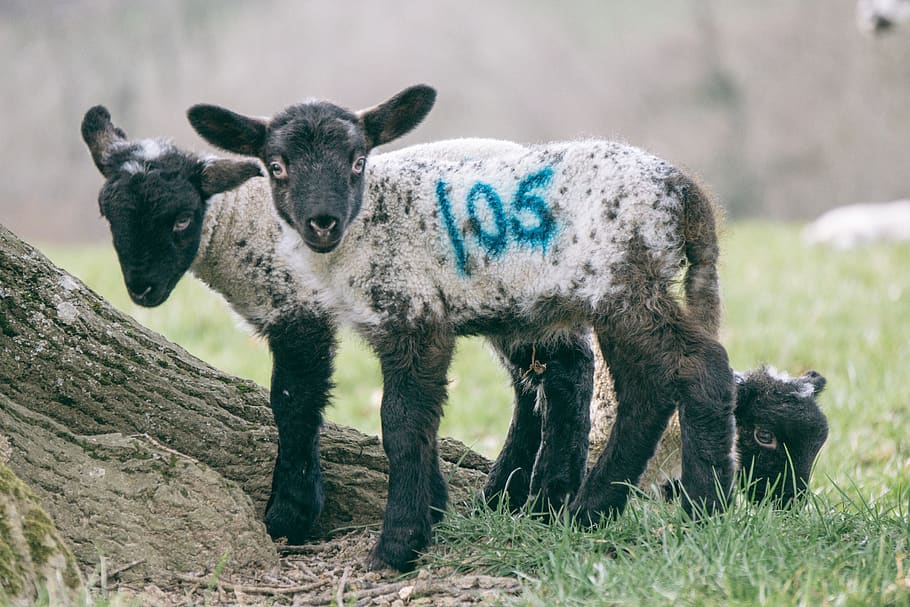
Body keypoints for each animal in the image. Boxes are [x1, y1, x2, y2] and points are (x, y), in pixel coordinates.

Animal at [79, 105, 596, 549]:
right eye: (107, 215)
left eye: (182, 219)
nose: (142, 290)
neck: (242, 223)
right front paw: (433, 502)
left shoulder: (299, 309)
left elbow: (293, 403)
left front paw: (290, 516)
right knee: (533, 382)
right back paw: (502, 497)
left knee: (569, 372)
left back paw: (547, 501)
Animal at [188, 84, 737, 571]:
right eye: (276, 166)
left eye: (357, 160)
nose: (322, 222)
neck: (366, 226)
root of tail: (685, 191)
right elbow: (415, 421)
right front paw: (430, 514)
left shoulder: (414, 315)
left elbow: (400, 423)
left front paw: (397, 546)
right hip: (612, 296)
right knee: (647, 390)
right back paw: (591, 511)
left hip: (623, 284)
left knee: (699, 366)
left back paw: (706, 510)